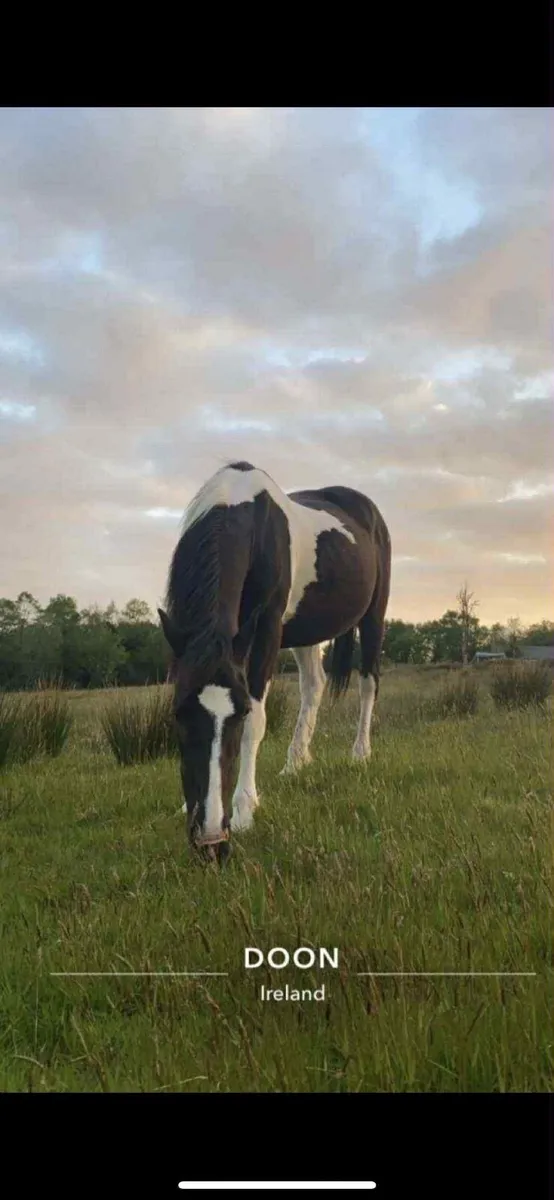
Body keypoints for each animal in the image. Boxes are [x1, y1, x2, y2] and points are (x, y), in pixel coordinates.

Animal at [158, 461, 391, 863]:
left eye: (237, 716)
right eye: (178, 714)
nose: (211, 841)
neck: (241, 509)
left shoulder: (266, 627)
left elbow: (258, 718)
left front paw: (244, 810)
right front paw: (185, 806)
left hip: (373, 615)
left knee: (368, 682)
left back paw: (360, 753)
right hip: (304, 632)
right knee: (314, 686)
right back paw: (295, 762)